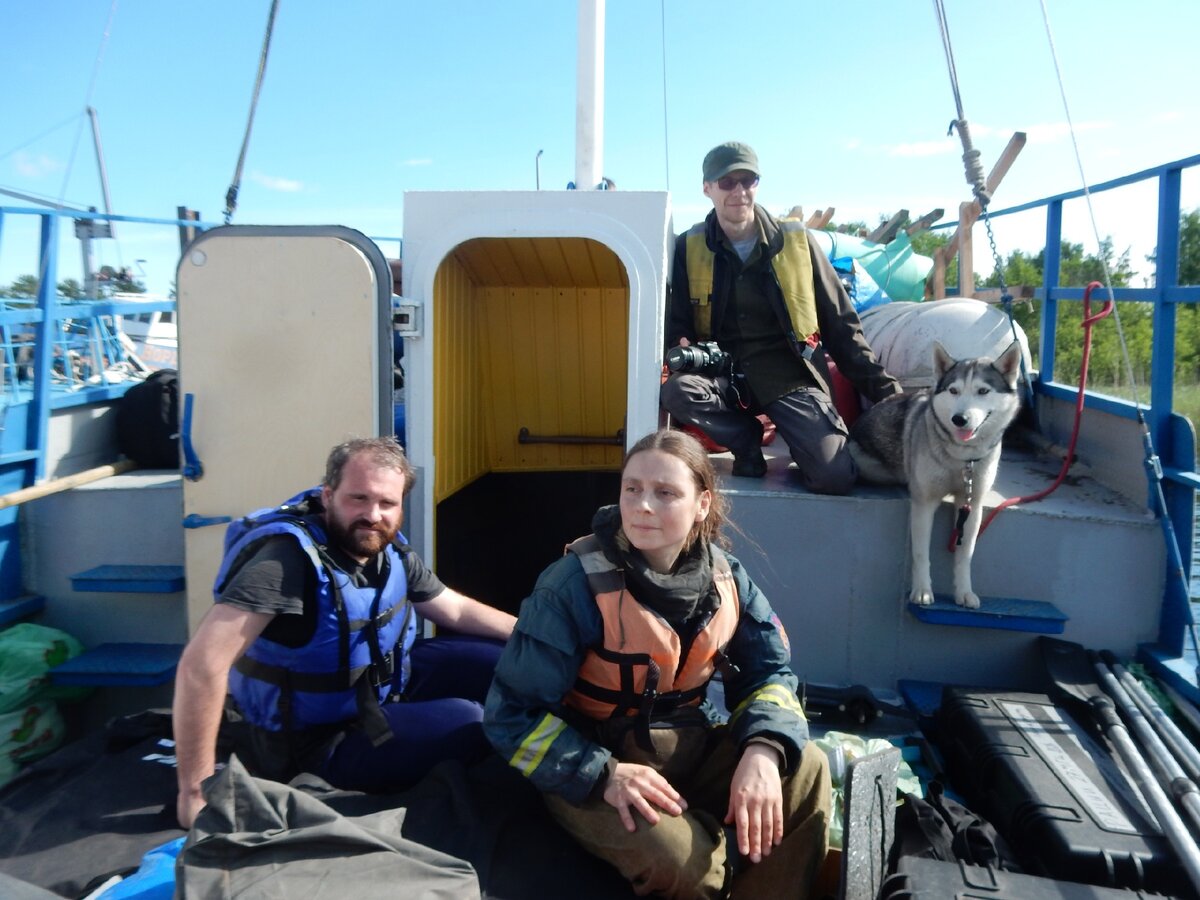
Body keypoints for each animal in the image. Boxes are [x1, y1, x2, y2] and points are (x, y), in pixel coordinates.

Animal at [844, 340, 1022, 609]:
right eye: (953, 391)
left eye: (983, 391)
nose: (959, 419)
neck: (962, 459)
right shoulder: (924, 503)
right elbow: (920, 553)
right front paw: (922, 591)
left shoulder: (972, 505)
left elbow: (965, 555)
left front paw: (964, 592)